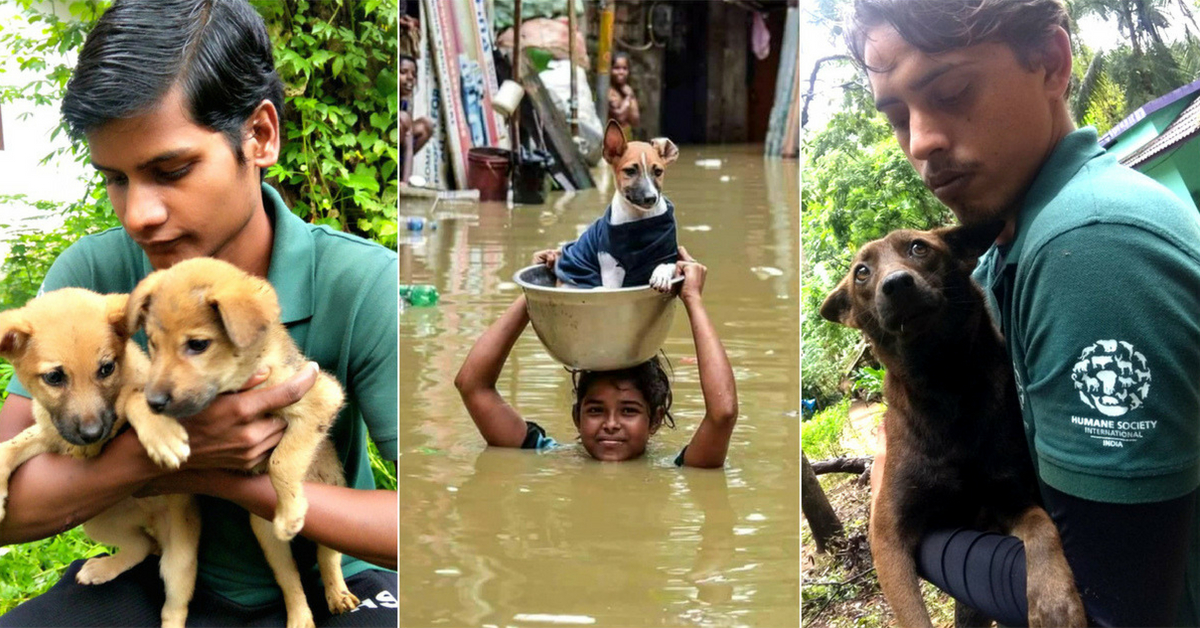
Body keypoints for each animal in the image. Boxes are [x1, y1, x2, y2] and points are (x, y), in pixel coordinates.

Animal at [0, 290, 199, 628]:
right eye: (54, 377)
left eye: (106, 369)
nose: (92, 434)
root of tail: (151, 524)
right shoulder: (50, 433)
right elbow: (11, 445)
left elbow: (133, 397)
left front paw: (160, 433)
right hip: (96, 522)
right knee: (140, 546)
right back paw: (102, 569)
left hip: (179, 556)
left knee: (175, 606)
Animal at [130, 256, 357, 628]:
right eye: (152, 343)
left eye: (198, 345)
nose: (157, 403)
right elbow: (132, 398)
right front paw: (156, 430)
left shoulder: (322, 395)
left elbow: (282, 461)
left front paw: (291, 510)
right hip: (266, 537)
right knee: (291, 581)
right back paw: (300, 617)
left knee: (328, 559)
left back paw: (338, 595)